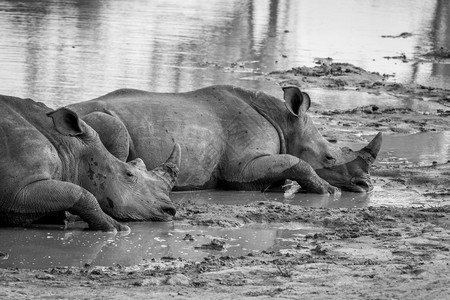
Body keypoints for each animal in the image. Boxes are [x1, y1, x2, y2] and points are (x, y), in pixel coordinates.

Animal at [0, 95, 182, 231]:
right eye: (129, 174)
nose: (170, 211)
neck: (69, 150)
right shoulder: (17, 192)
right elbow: (79, 193)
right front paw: (115, 227)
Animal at [68, 85, 382, 195]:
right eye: (329, 157)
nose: (365, 185)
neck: (285, 123)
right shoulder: (241, 166)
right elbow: (297, 162)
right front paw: (330, 191)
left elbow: (289, 165)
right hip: (92, 119)